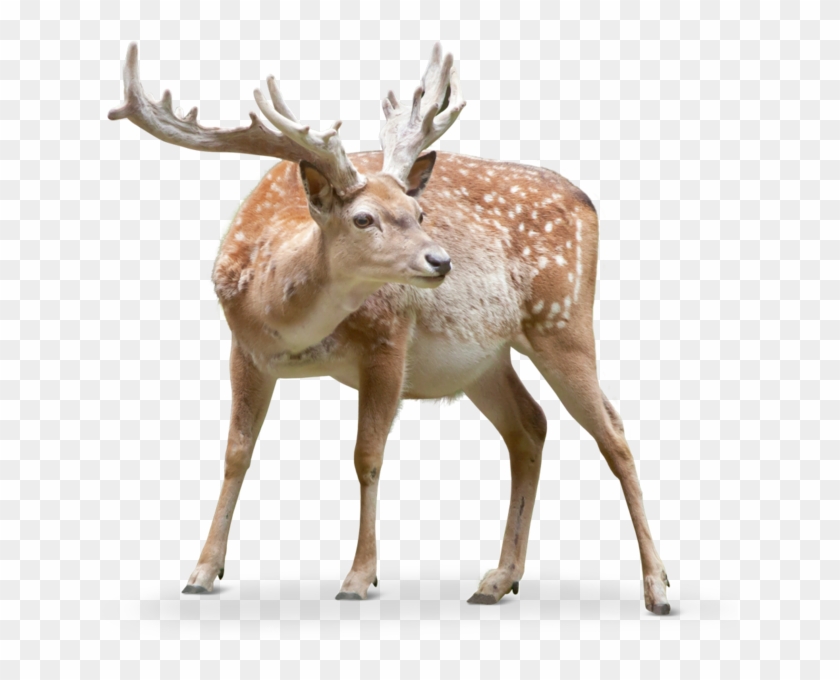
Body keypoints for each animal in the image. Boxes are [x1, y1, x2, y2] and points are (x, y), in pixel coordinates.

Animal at [108, 41, 671, 614]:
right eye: (363, 218)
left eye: (418, 212)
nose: (441, 260)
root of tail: (588, 201)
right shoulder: (244, 350)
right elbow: (236, 454)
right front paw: (202, 571)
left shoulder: (389, 339)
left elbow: (367, 457)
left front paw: (358, 577)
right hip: (484, 360)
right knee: (529, 425)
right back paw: (498, 579)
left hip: (563, 323)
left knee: (614, 433)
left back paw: (656, 587)